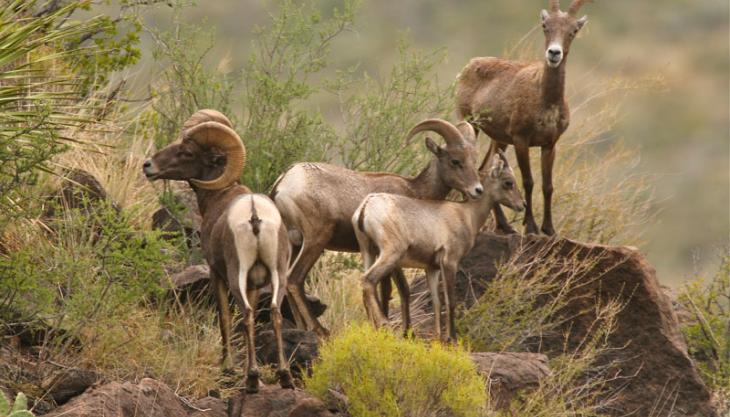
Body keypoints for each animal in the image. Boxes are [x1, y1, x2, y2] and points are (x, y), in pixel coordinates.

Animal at [141, 109, 292, 392]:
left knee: (245, 315)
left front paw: (228, 367)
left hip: (236, 275)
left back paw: (252, 379)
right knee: (274, 314)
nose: (148, 166)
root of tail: (254, 216)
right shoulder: (256, 284)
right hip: (278, 275)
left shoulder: (216, 273)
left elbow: (224, 317)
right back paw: (285, 376)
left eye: (187, 152)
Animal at [272, 118, 484, 336]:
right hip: (316, 240)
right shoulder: (393, 254)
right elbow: (401, 290)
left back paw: (301, 327)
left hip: (294, 244)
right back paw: (320, 330)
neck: (415, 190)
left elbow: (388, 291)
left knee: (285, 281)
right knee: (295, 279)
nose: (477, 190)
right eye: (455, 161)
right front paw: (404, 332)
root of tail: (283, 183)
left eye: (473, 160)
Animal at [352, 151, 524, 342]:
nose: (521, 205)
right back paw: (384, 325)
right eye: (508, 182)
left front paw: (439, 338)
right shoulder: (450, 262)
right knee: (368, 280)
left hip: (368, 252)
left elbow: (437, 302)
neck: (467, 215)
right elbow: (450, 301)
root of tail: (366, 206)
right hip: (390, 255)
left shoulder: (431, 268)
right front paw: (452, 340)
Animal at [458, 0, 588, 236]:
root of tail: (469, 66)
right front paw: (531, 227)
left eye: (573, 30)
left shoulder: (549, 144)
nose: (554, 53)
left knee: (484, 169)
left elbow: (548, 185)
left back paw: (505, 226)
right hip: (471, 124)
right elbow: (528, 181)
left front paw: (550, 229)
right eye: (545, 26)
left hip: (498, 140)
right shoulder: (521, 140)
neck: (545, 100)